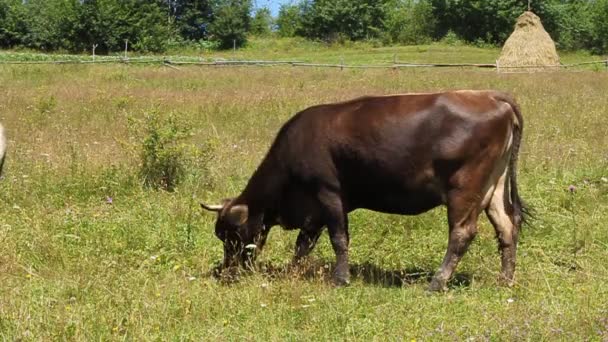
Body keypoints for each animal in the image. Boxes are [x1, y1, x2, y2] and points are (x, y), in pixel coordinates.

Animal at [202, 89, 524, 290]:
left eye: (231, 234)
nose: (227, 271)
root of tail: (489, 95)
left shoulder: (329, 193)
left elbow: (338, 239)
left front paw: (340, 278)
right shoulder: (313, 210)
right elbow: (303, 244)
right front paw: (294, 271)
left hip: (464, 189)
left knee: (461, 233)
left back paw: (437, 282)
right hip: (494, 188)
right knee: (507, 227)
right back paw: (505, 280)